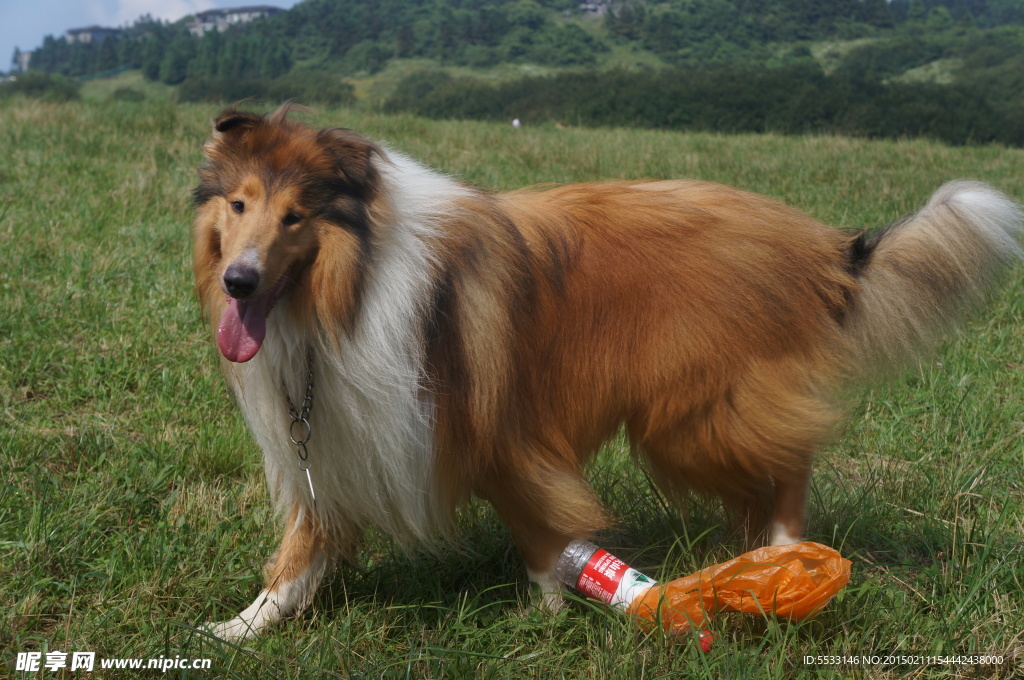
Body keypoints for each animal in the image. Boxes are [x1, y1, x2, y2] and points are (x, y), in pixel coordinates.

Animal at [193, 103, 1024, 639]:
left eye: (296, 216)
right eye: (239, 204)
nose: (238, 281)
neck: (344, 292)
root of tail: (814, 242)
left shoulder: (493, 426)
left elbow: (538, 527)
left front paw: (550, 613)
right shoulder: (335, 436)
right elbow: (302, 548)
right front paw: (241, 627)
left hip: (694, 418)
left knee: (792, 459)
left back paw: (785, 551)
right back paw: (748, 557)